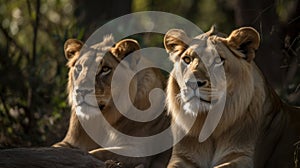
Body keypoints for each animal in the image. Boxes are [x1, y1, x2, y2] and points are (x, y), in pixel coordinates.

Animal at [52, 35, 171, 168]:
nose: (81, 91)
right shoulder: (69, 142)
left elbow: (95, 152)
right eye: (79, 68)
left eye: (105, 69)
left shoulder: (137, 151)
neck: (100, 120)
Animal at [164, 26, 300, 167]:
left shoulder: (243, 156)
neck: (207, 122)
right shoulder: (182, 157)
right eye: (187, 60)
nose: (191, 83)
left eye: (218, 60)